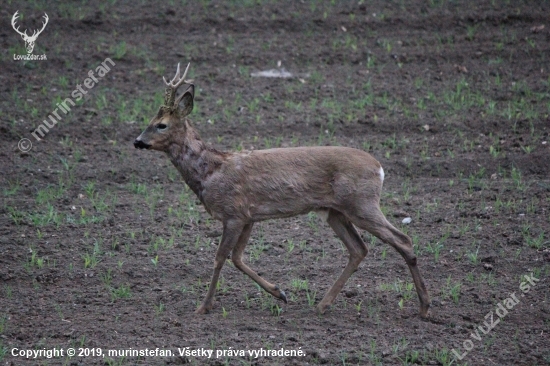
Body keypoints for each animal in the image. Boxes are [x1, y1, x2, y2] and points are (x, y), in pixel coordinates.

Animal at [135, 63, 432, 318]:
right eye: (149, 120)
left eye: (161, 124)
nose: (137, 141)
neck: (210, 172)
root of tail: (379, 168)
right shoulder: (248, 216)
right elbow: (237, 258)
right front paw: (280, 293)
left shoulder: (233, 213)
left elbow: (220, 258)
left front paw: (204, 307)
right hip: (335, 211)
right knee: (359, 249)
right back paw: (322, 304)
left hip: (362, 203)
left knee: (402, 240)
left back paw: (424, 307)